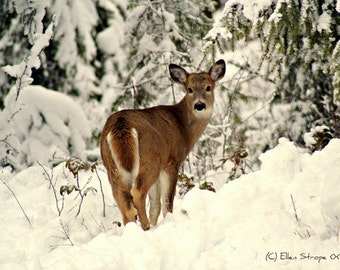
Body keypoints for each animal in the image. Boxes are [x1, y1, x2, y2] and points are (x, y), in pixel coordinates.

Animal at [99, 60, 224, 230]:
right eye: (189, 89)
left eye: (208, 87)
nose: (199, 105)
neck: (183, 128)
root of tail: (121, 125)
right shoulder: (172, 162)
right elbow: (166, 202)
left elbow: (155, 206)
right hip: (150, 160)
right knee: (137, 193)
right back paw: (145, 227)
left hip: (112, 167)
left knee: (125, 206)